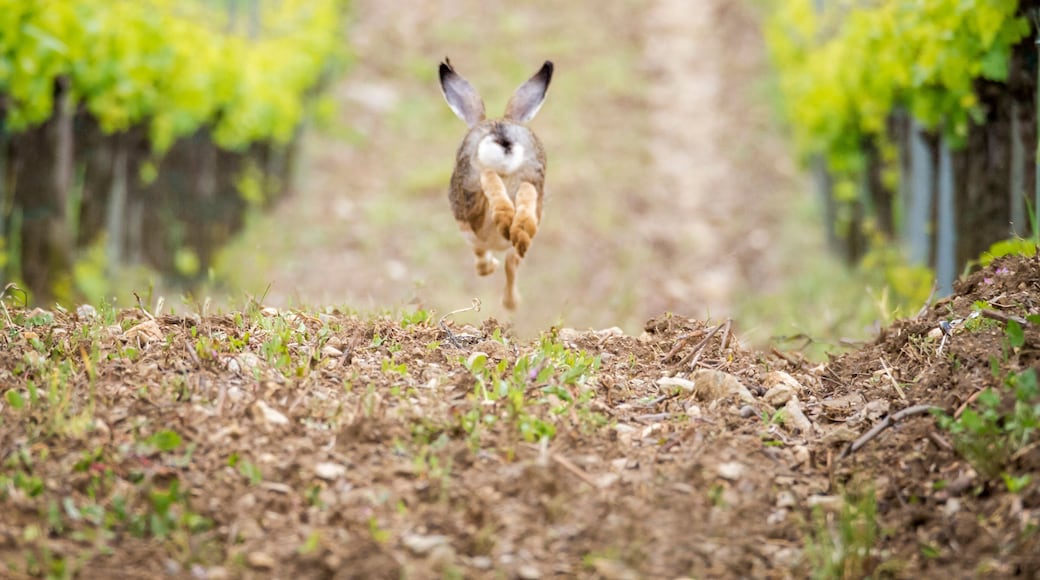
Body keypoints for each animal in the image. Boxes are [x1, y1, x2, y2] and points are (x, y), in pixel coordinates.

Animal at [439, 58, 554, 310]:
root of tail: (501, 135)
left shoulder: (471, 236)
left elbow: (484, 258)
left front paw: (493, 275)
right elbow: (511, 263)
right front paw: (511, 301)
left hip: (472, 188)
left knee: (488, 180)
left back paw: (506, 220)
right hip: (533, 173)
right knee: (526, 191)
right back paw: (521, 229)